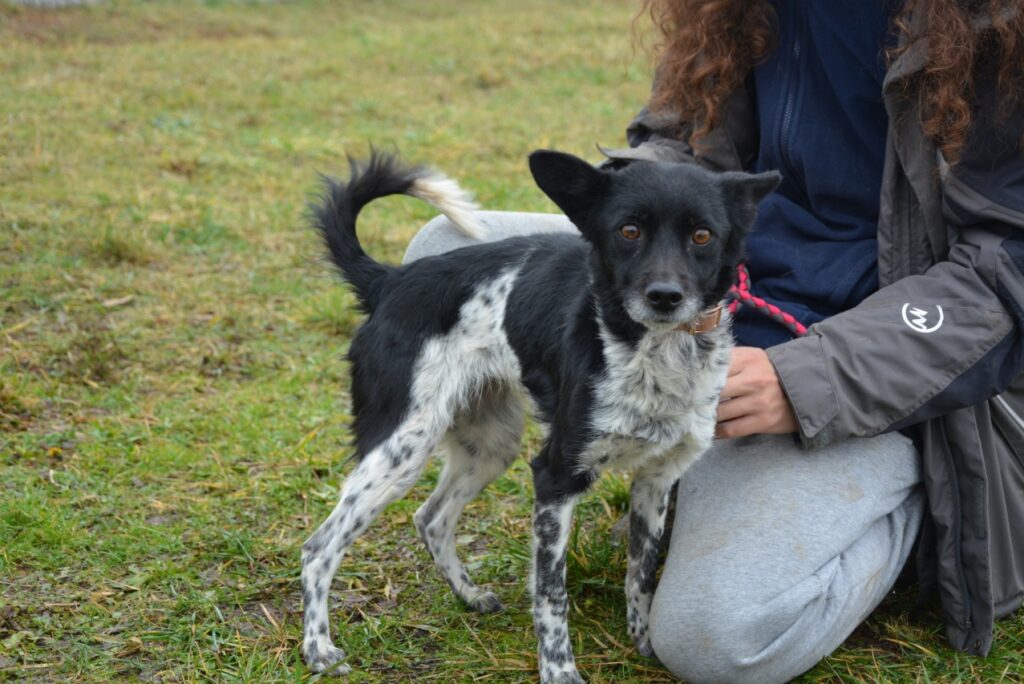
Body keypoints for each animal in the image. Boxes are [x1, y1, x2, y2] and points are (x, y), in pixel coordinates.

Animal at [299, 150, 778, 684]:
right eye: (629, 230)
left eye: (702, 236)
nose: (665, 296)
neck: (654, 349)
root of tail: (389, 281)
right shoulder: (556, 476)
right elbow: (552, 593)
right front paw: (559, 670)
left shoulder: (657, 481)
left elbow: (641, 575)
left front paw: (645, 644)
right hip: (401, 447)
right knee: (319, 547)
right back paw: (319, 647)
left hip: (490, 443)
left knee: (432, 518)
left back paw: (469, 595)